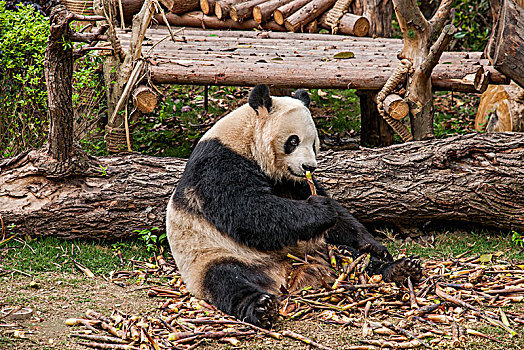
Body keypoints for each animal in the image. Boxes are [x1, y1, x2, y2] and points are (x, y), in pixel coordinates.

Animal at [166, 84, 420, 328]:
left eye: (314, 143)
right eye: (293, 141)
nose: (309, 166)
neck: (246, 136)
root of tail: (285, 274)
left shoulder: (291, 180)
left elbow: (339, 218)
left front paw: (375, 246)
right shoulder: (218, 165)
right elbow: (249, 212)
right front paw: (321, 209)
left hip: (317, 249)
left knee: (353, 257)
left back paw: (398, 269)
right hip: (212, 256)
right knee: (227, 280)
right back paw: (261, 307)